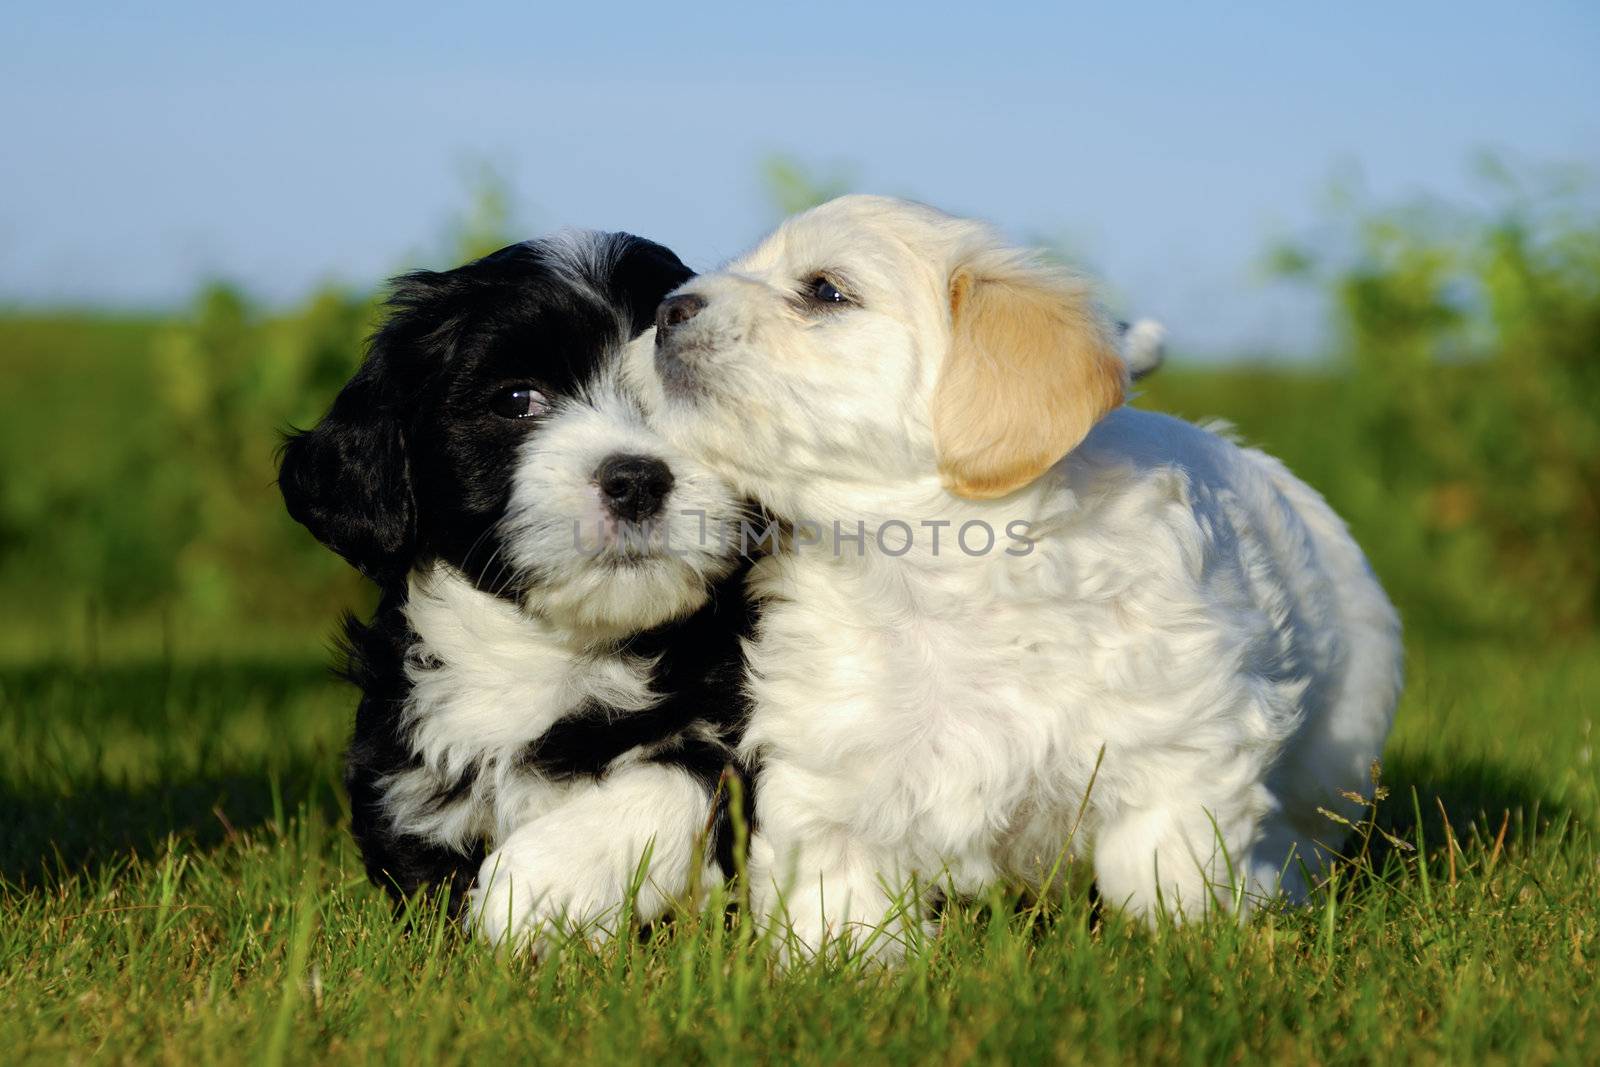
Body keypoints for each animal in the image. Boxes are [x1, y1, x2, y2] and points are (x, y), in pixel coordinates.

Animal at [278, 233, 752, 953]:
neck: (555, 653)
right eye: (517, 399)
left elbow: (675, 777)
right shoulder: (404, 767)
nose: (637, 479)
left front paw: (525, 892)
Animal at [624, 195, 1401, 966]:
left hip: (1340, 739)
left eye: (825, 291)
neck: (932, 576)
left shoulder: (1178, 741)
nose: (667, 309)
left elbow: (1166, 857)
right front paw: (845, 961)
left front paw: (1190, 947)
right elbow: (838, 882)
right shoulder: (834, 755)